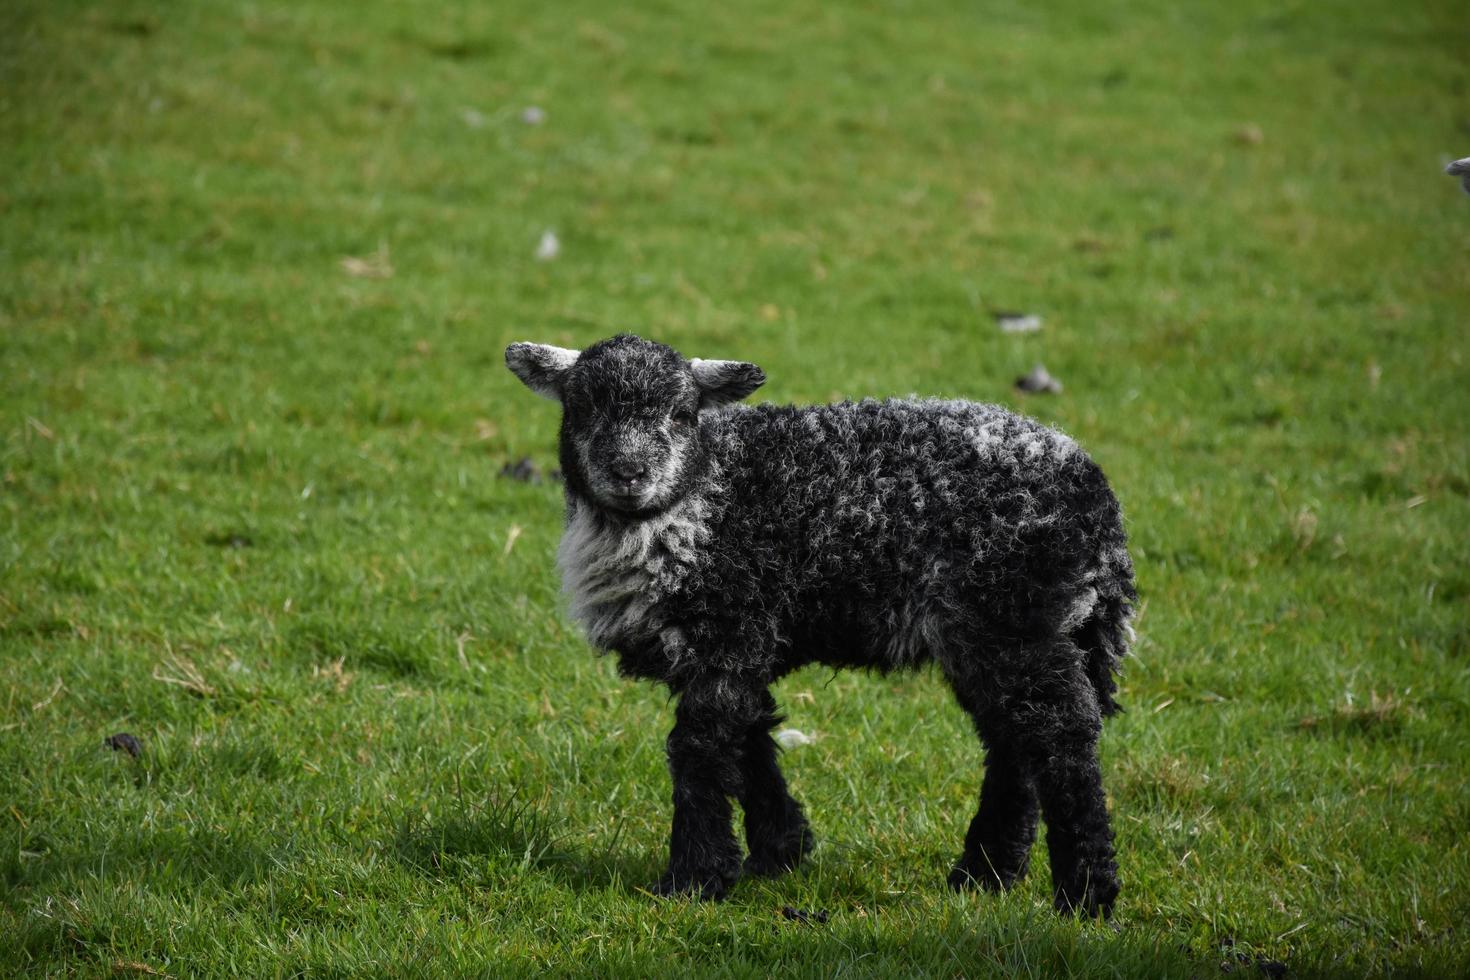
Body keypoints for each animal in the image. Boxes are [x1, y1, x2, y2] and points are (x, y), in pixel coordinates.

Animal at [505, 333, 1134, 916]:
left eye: (683, 413)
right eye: (581, 408)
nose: (629, 472)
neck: (697, 503)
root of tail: (1095, 498)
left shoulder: (730, 628)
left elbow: (700, 747)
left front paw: (693, 877)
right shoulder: (734, 643)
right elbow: (750, 732)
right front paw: (781, 850)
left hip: (1012, 618)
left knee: (1059, 733)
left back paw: (1085, 892)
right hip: (996, 633)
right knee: (1013, 741)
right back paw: (985, 873)